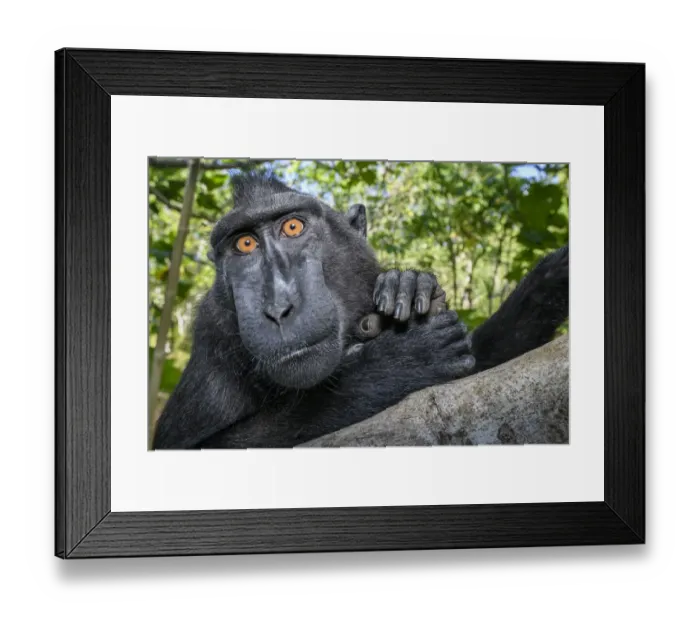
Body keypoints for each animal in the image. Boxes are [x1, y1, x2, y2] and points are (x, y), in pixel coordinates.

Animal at [152, 174, 569, 449]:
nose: (278, 306)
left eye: (293, 227)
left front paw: (407, 284)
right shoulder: (214, 338)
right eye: (245, 244)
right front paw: (394, 366)